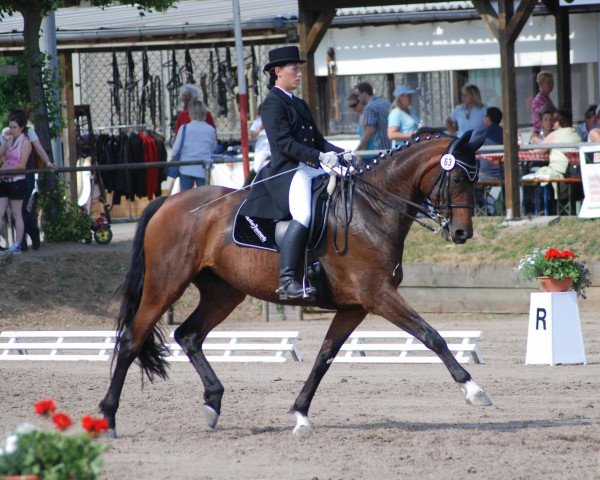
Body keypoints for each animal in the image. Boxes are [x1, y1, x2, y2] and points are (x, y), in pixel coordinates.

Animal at [98, 129, 492, 436]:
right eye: (458, 179)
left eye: (475, 180)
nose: (462, 233)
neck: (373, 209)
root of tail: (168, 201)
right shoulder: (378, 295)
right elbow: (431, 335)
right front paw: (473, 389)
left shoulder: (354, 307)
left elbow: (324, 357)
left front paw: (301, 415)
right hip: (166, 284)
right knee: (132, 339)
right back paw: (108, 418)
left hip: (224, 293)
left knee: (189, 335)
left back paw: (212, 404)